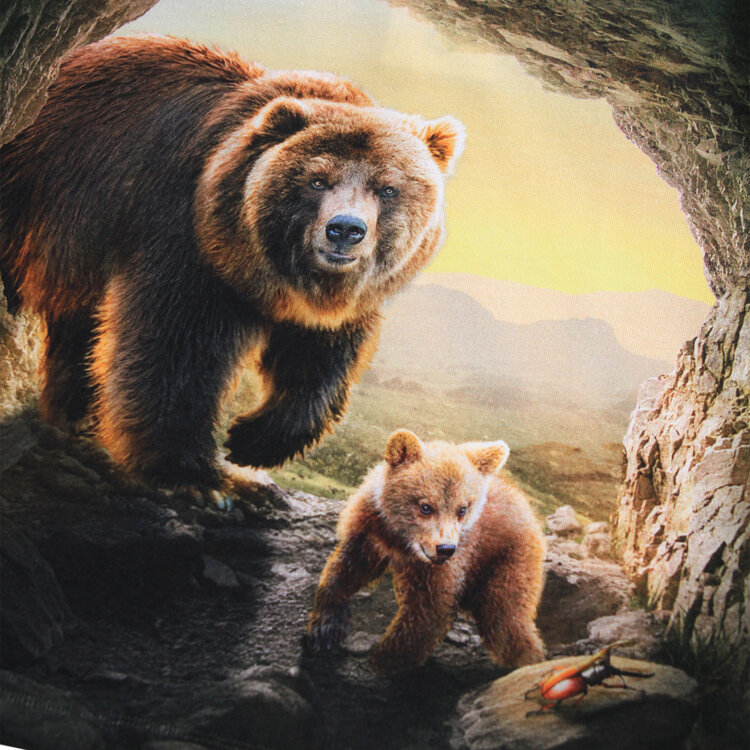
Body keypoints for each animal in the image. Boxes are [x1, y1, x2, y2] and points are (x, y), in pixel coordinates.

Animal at [0, 35, 464, 498]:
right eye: (317, 180)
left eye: (387, 188)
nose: (345, 230)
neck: (272, 274)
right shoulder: (186, 236)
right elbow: (174, 347)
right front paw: (192, 473)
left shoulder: (342, 301)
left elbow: (319, 361)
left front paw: (252, 440)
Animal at [305, 429, 546, 673]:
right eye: (425, 507)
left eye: (462, 509)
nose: (445, 549)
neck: (400, 541)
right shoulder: (370, 530)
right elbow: (347, 568)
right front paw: (325, 627)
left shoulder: (452, 562)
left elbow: (428, 612)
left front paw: (383, 659)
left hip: (509, 560)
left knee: (506, 620)